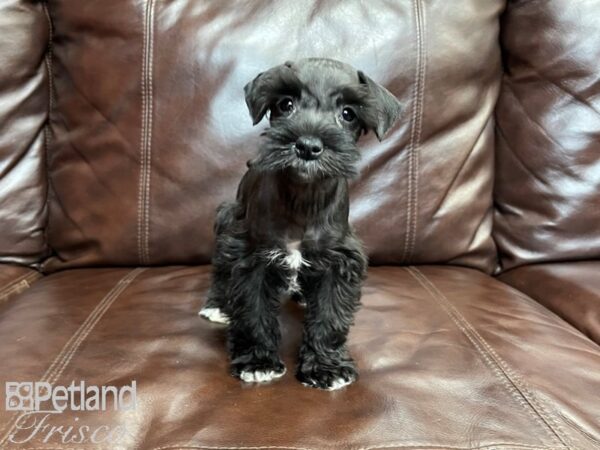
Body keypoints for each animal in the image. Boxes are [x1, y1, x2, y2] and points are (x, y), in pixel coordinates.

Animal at [199, 58, 400, 390]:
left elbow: (330, 316)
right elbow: (253, 311)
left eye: (348, 113)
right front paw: (258, 362)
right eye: (286, 104)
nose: (307, 145)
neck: (303, 197)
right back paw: (217, 305)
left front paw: (326, 367)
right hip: (227, 221)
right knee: (221, 273)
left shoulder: (338, 263)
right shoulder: (252, 258)